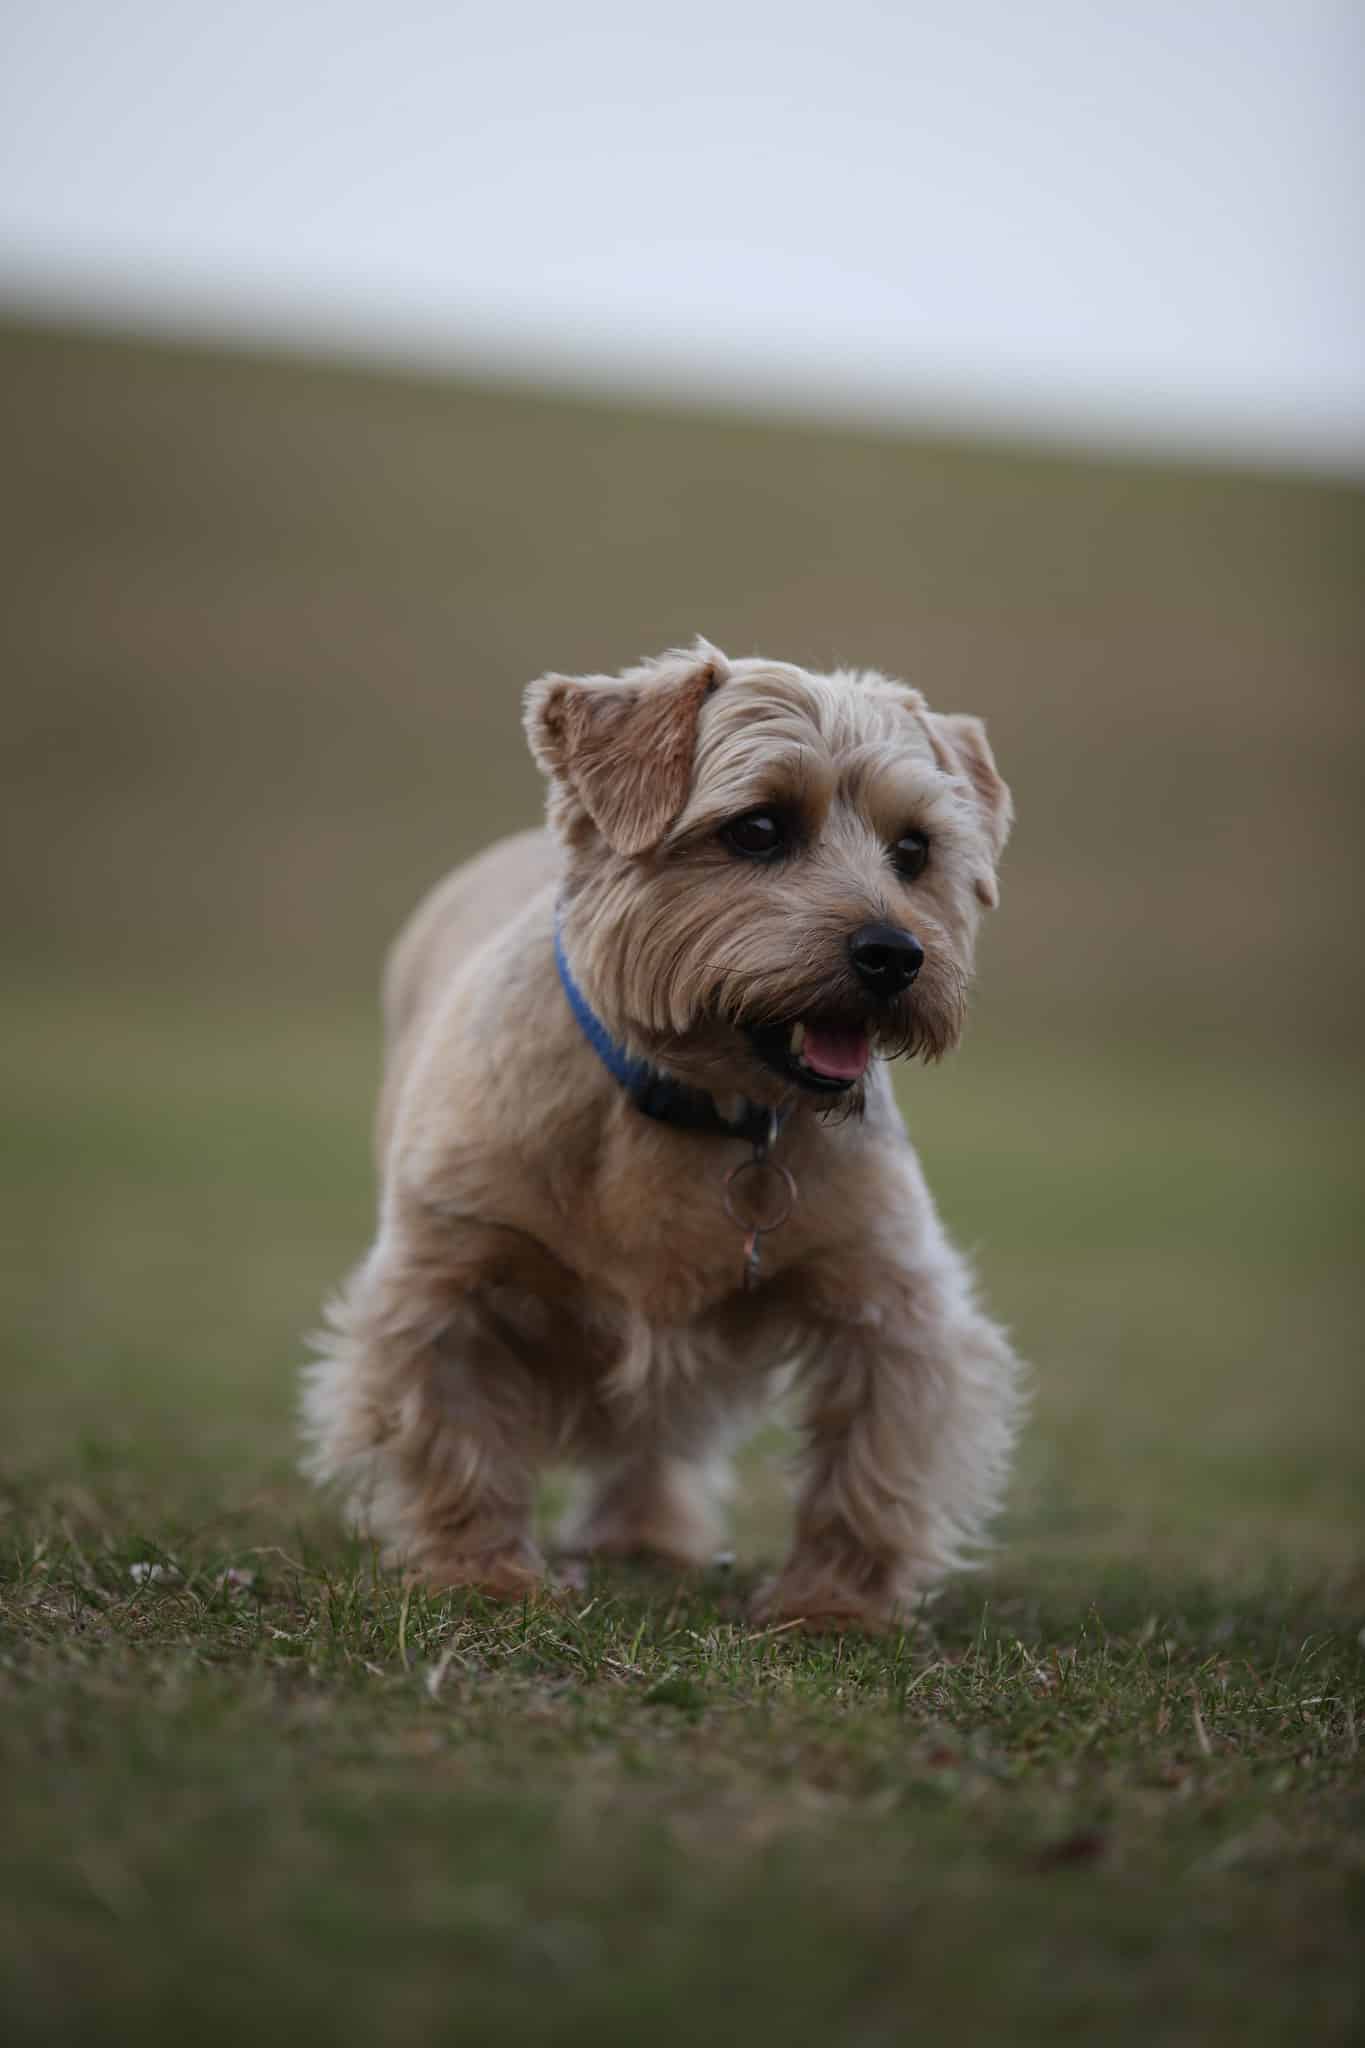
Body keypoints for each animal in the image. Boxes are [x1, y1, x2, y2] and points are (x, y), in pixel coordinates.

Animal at [300, 638, 1023, 1630]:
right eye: (756, 829)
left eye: (913, 849)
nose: (894, 954)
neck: (696, 1102)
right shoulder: (445, 1269)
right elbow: (451, 1430)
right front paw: (481, 1577)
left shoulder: (888, 1288)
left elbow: (874, 1456)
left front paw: (833, 1606)